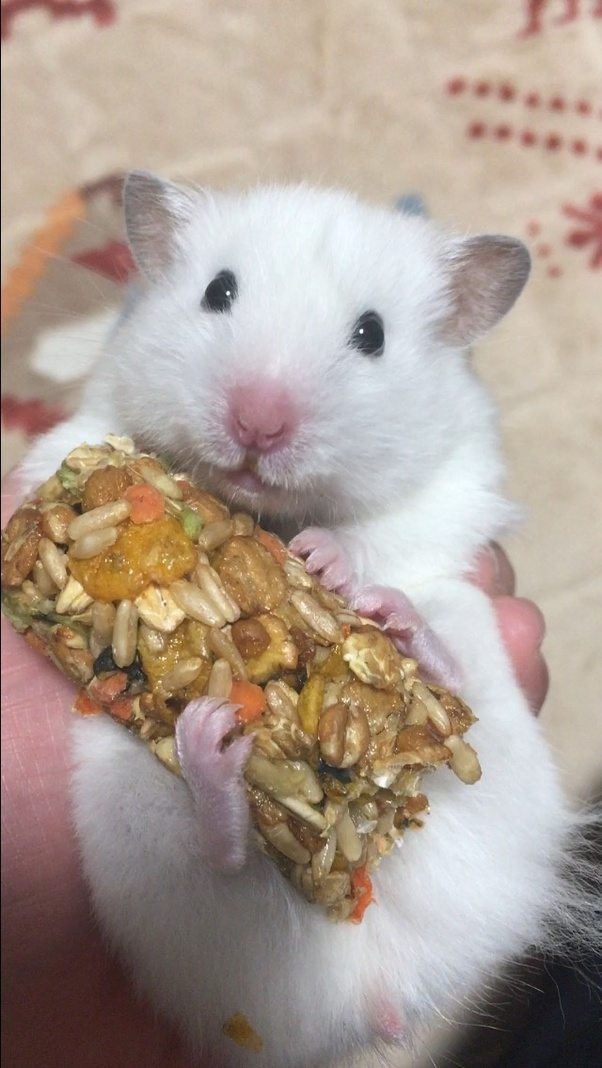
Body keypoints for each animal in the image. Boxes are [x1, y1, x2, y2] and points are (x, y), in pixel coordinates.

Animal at [20, 174, 600, 1067]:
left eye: (372, 335)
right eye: (217, 292)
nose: (258, 423)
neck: (271, 512)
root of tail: (377, 987)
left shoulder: (454, 488)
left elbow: (381, 533)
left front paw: (327, 561)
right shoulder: (77, 432)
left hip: (497, 747)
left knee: (449, 661)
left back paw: (392, 619)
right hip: (138, 832)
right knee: (222, 867)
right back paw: (214, 751)